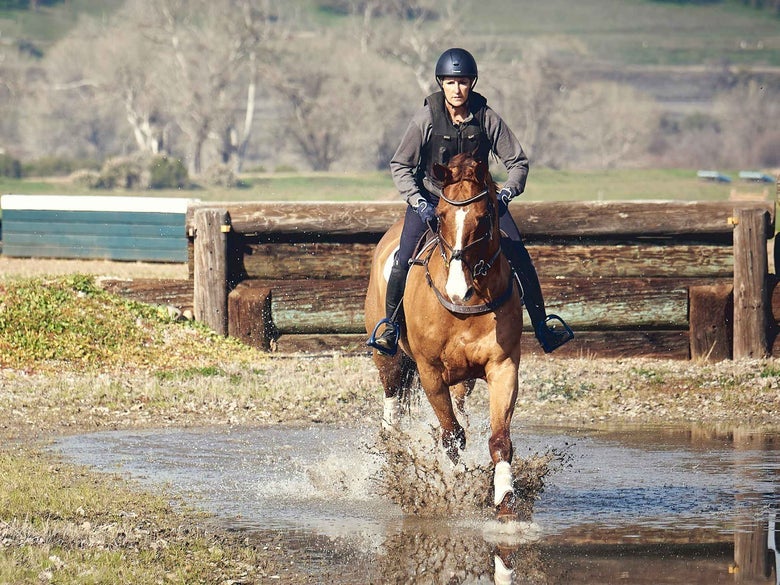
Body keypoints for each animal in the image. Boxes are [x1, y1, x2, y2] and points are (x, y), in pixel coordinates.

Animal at [364, 152, 524, 519]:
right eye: (438, 218)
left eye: (484, 217)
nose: (456, 290)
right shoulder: (430, 371)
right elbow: (451, 436)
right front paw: (454, 485)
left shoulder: (503, 366)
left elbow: (499, 439)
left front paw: (505, 498)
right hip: (389, 360)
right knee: (392, 412)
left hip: (465, 379)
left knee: (460, 406)